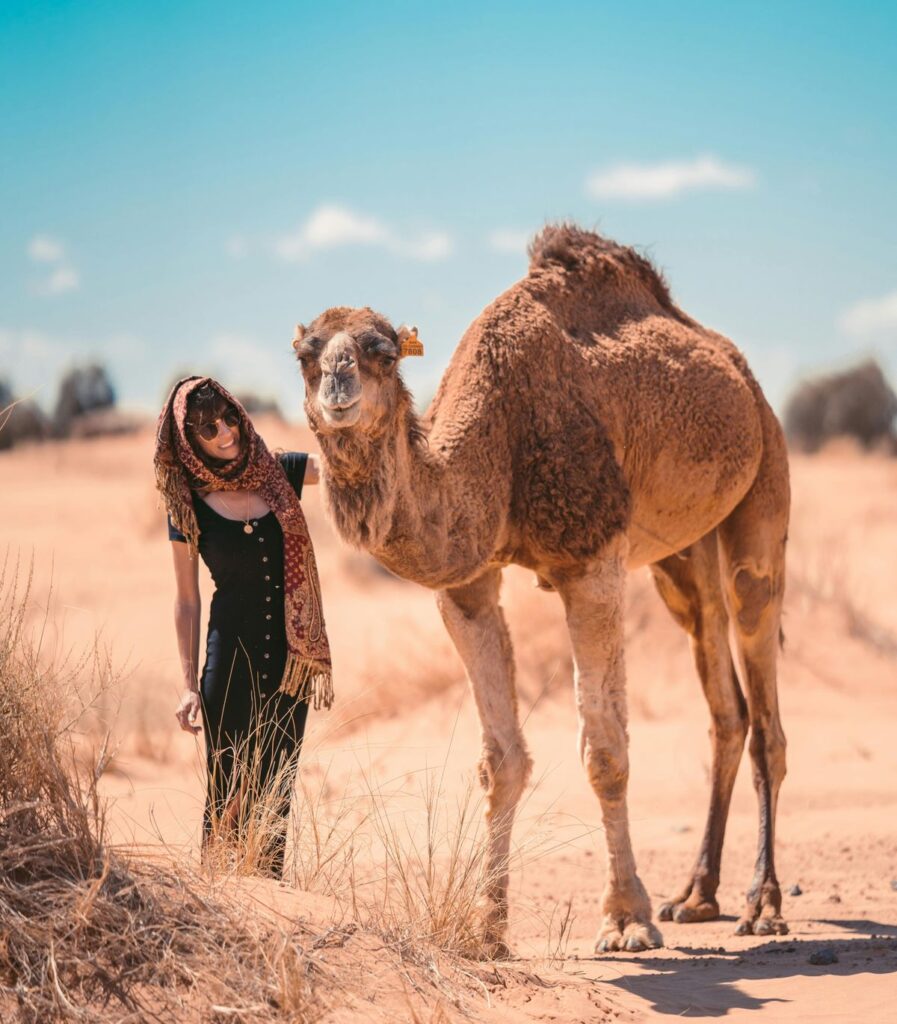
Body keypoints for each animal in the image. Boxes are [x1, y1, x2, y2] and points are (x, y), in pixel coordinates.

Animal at [292, 225, 790, 955]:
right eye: (305, 353)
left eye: (381, 352)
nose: (336, 387)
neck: (496, 440)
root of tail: (739, 370)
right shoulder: (466, 585)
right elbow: (501, 759)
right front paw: (486, 928)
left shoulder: (591, 558)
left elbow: (605, 748)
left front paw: (625, 919)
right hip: (680, 559)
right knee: (724, 700)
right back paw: (696, 895)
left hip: (764, 483)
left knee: (760, 679)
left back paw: (763, 903)